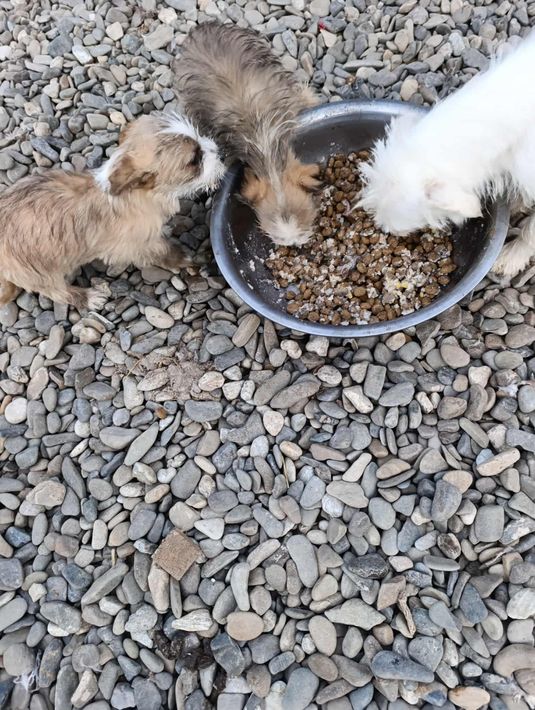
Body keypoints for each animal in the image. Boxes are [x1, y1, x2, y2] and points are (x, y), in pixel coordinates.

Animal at [0, 113, 224, 310]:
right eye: (194, 160)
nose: (219, 150)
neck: (138, 195)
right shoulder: (139, 245)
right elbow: (165, 251)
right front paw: (184, 259)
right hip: (41, 274)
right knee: (57, 292)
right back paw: (87, 297)